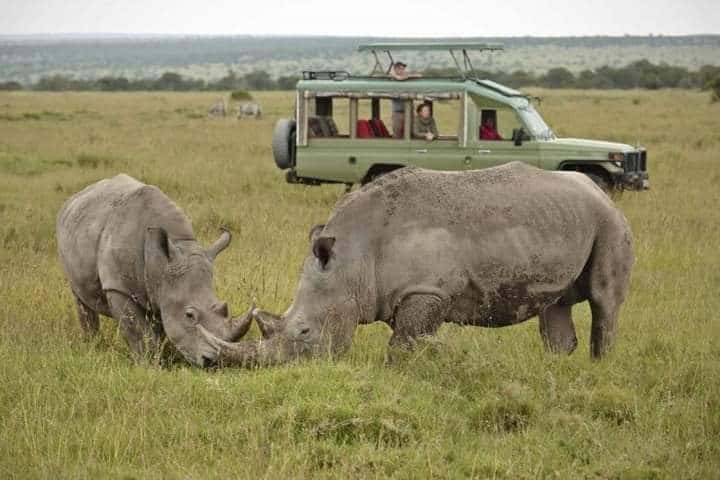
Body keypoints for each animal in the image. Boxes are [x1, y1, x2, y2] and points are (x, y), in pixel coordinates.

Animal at [56, 174, 252, 366]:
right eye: (189, 315)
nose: (216, 362)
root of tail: (74, 198)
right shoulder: (118, 287)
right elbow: (138, 332)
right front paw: (147, 364)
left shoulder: (162, 288)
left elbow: (160, 329)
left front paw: (160, 358)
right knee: (80, 298)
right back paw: (92, 345)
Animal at [201, 162, 634, 366]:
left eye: (304, 331)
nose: (281, 368)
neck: (352, 257)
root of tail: (600, 191)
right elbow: (405, 341)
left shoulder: (427, 290)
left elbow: (402, 345)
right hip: (568, 220)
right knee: (555, 306)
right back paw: (556, 368)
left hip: (608, 221)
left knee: (603, 301)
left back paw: (599, 366)